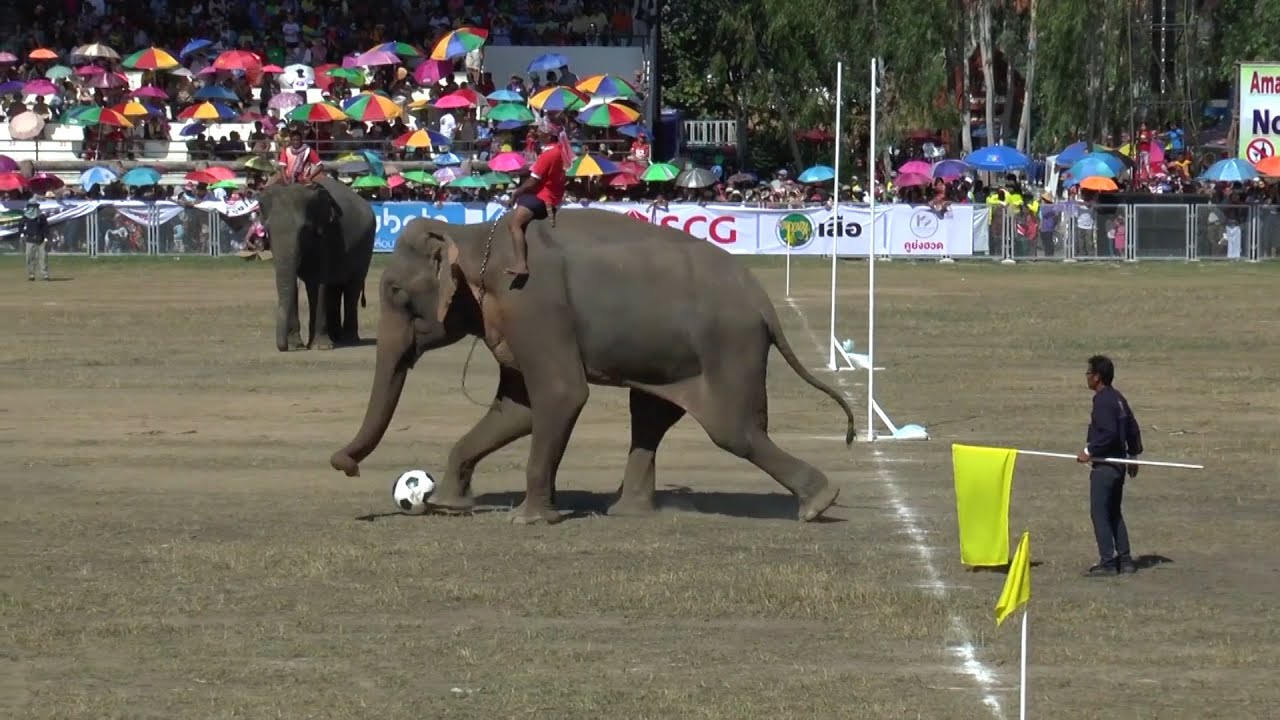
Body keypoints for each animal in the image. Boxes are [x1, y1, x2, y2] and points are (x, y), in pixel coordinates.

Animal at [257, 175, 376, 351]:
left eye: (304, 229)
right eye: (267, 230)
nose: (283, 347)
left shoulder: (327, 235)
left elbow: (318, 283)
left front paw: (321, 346)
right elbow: (292, 285)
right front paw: (296, 346)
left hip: (366, 247)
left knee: (351, 289)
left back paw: (349, 340)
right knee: (335, 289)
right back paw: (337, 339)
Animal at [330, 208, 857, 524]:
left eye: (395, 292)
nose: (344, 464)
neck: (475, 238)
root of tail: (764, 302)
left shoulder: (534, 306)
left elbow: (561, 395)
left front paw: (527, 520)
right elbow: (518, 408)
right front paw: (447, 505)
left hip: (729, 347)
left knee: (734, 431)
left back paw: (819, 503)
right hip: (676, 357)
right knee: (650, 416)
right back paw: (627, 511)